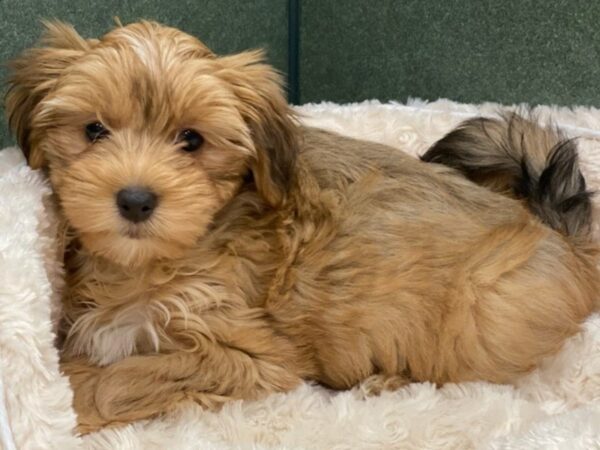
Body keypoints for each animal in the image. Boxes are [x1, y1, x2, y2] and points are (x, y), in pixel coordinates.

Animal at [5, 20, 600, 432]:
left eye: (191, 140)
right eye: (94, 130)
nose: (134, 200)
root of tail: (563, 238)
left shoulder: (252, 358)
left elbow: (123, 379)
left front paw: (78, 404)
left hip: (480, 312)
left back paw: (385, 381)